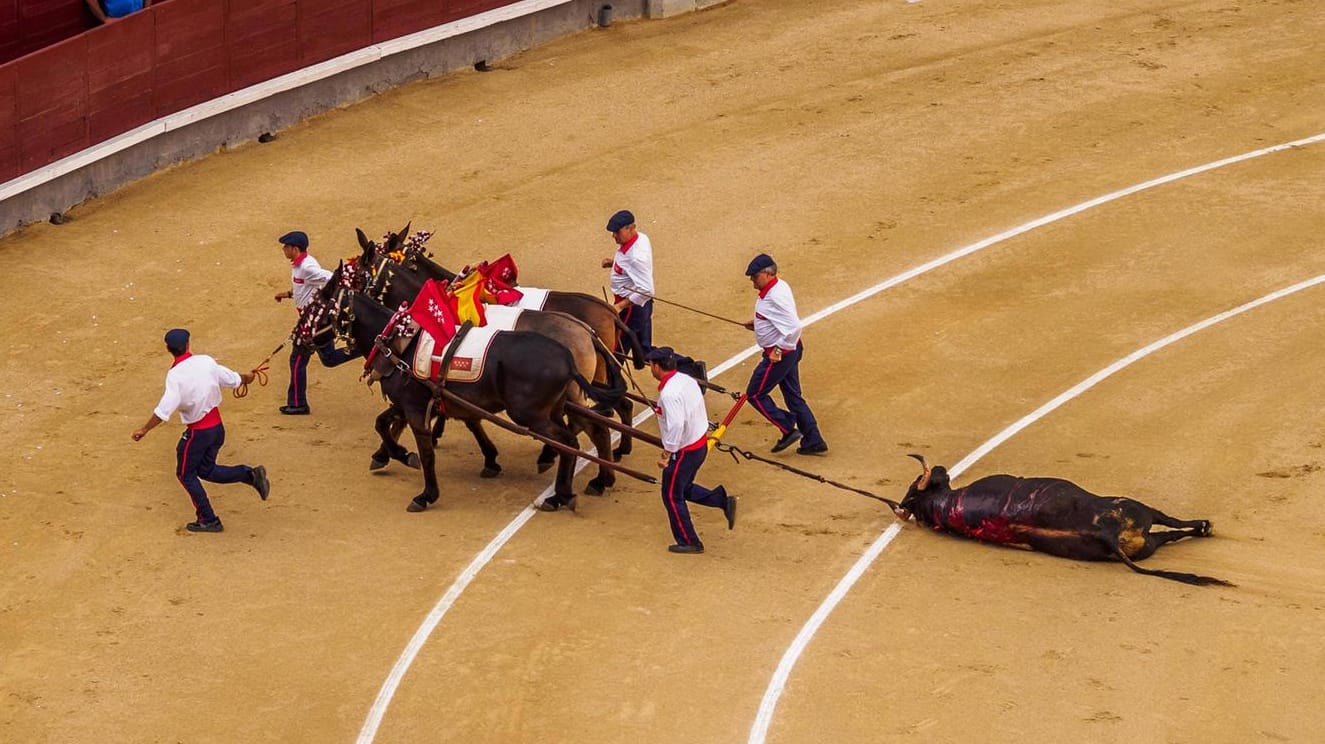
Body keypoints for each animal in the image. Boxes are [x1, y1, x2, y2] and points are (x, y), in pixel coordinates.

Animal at [895, 452, 1234, 585]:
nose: (941, 468)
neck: (946, 504)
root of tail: (1108, 534)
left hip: (1145, 542)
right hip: (1139, 509)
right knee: (1172, 526)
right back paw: (1205, 526)